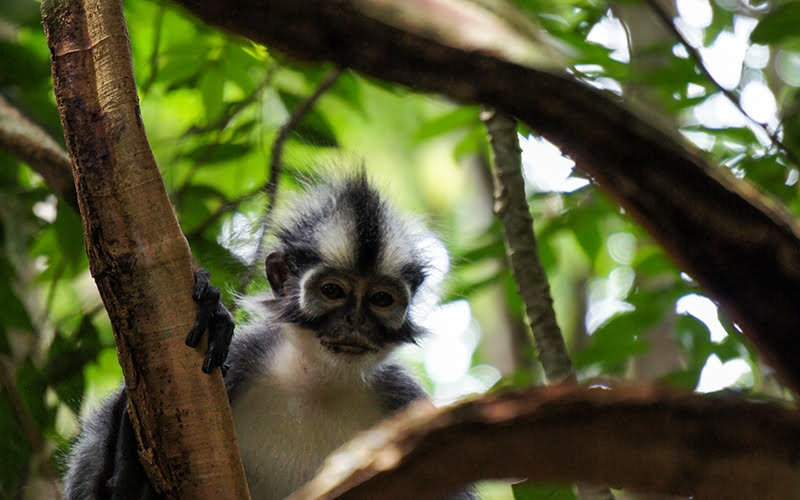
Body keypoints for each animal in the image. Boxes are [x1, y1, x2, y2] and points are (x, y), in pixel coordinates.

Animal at [65, 173, 476, 500]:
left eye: (380, 299)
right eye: (332, 291)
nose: (355, 321)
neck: (317, 385)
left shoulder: (404, 400)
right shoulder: (244, 357)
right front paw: (214, 315)